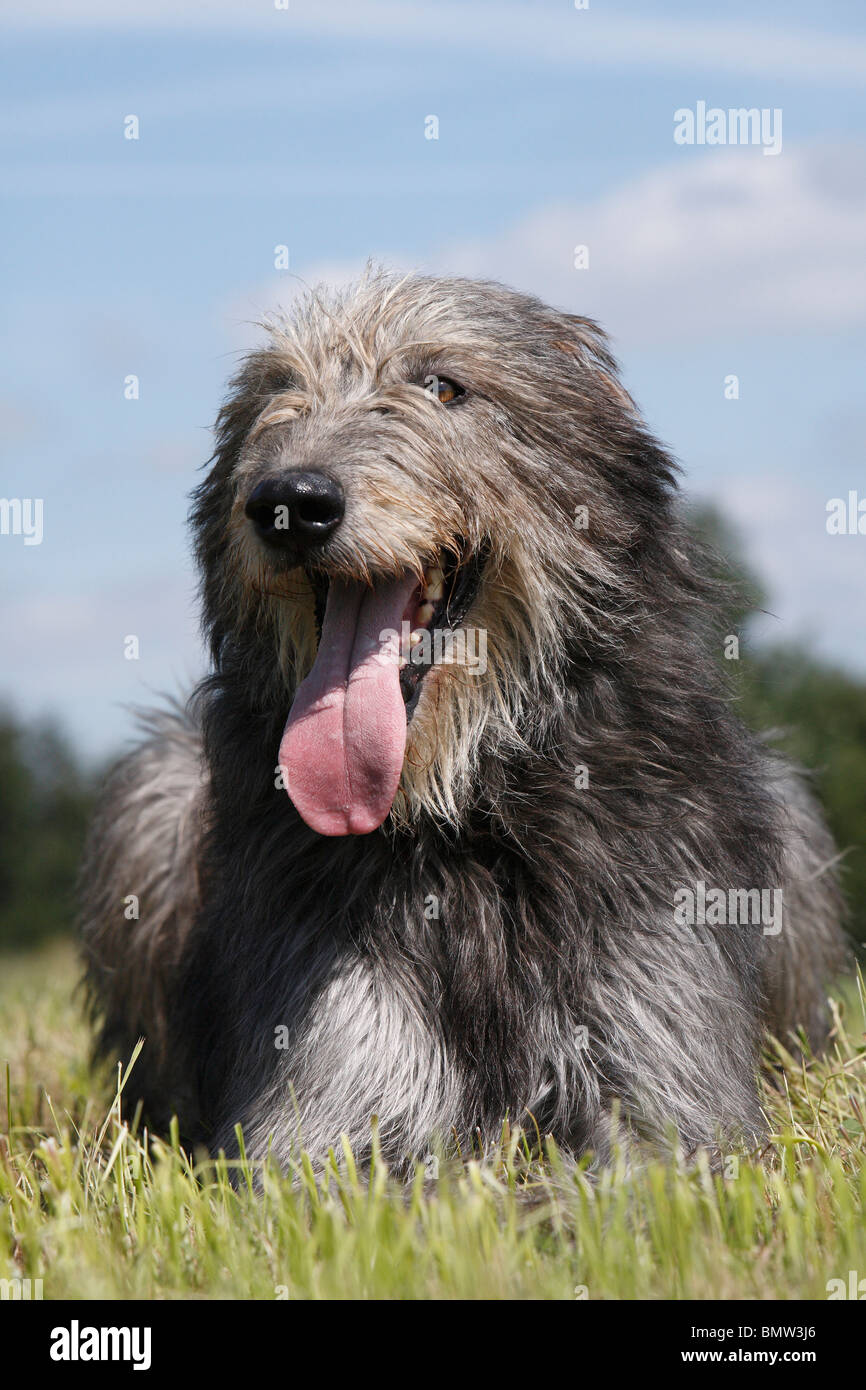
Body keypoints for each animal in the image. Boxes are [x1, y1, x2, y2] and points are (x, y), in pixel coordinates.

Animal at [79, 265, 845, 1167]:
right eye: (276, 393)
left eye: (444, 385)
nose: (288, 502)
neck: (466, 818)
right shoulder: (326, 1102)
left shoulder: (670, 1088)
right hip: (153, 795)